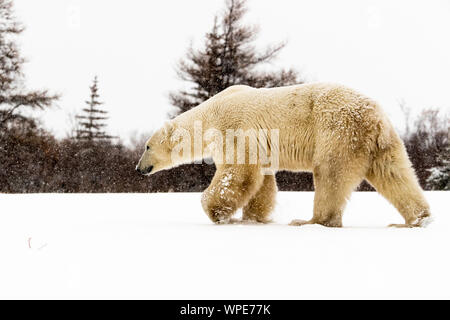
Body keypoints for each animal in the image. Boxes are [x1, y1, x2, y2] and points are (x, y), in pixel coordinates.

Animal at [136, 82, 432, 228]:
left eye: (147, 146)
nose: (139, 168)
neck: (210, 114)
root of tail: (374, 116)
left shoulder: (234, 129)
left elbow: (238, 172)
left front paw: (217, 213)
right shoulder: (258, 147)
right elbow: (261, 182)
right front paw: (253, 217)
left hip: (337, 132)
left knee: (330, 174)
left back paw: (310, 221)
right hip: (381, 141)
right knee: (395, 174)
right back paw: (416, 219)